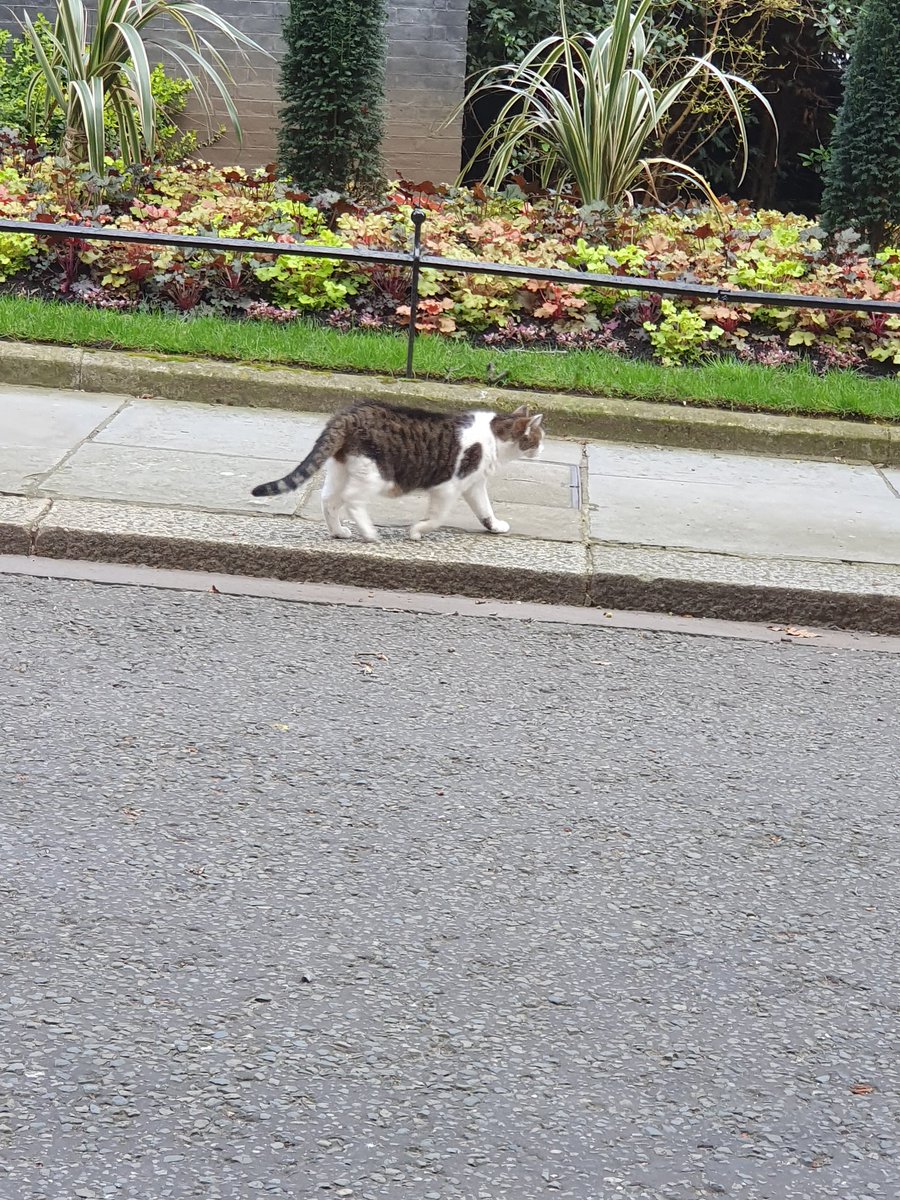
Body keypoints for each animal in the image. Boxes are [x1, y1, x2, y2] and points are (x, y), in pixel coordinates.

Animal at [250, 398, 547, 540]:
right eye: (538, 437)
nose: (543, 448)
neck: (495, 436)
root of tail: (348, 413)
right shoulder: (447, 488)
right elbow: (436, 518)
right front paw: (416, 531)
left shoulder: (473, 485)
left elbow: (485, 510)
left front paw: (494, 526)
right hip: (375, 474)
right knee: (352, 500)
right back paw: (369, 533)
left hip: (341, 469)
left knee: (328, 500)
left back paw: (338, 532)